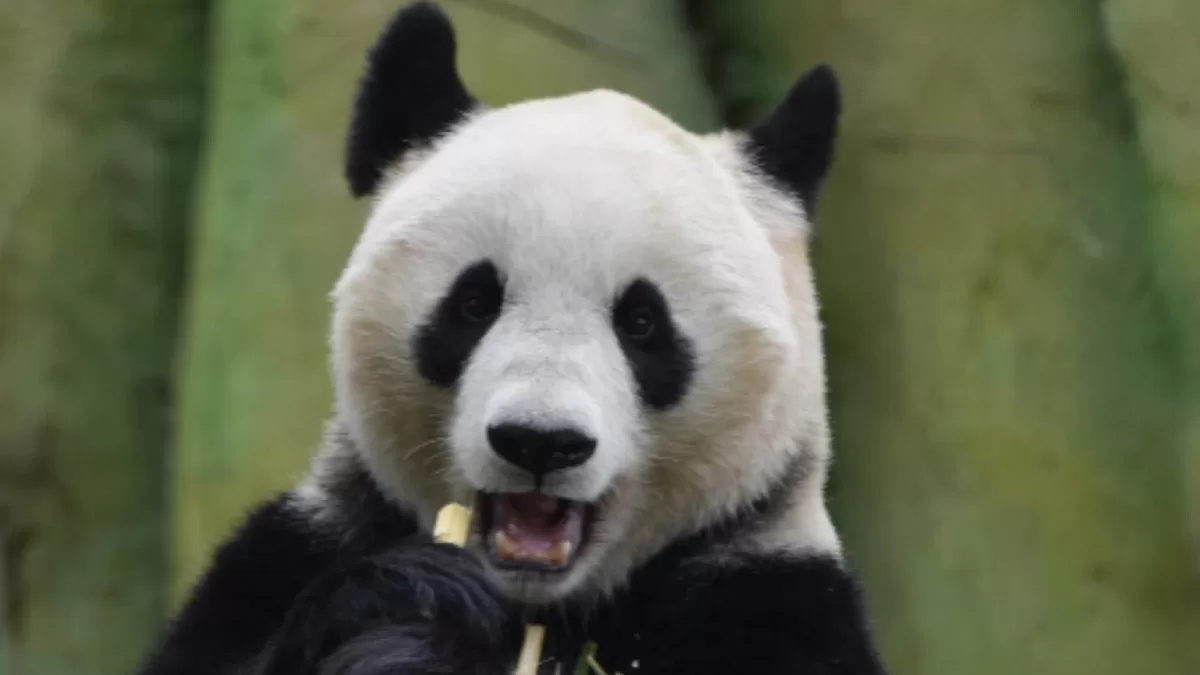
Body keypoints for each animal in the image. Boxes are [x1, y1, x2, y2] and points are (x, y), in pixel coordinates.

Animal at [136, 2, 890, 675]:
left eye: (642, 322)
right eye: (473, 303)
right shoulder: (300, 548)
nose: (539, 442)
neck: (541, 607)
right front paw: (412, 615)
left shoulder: (768, 595)